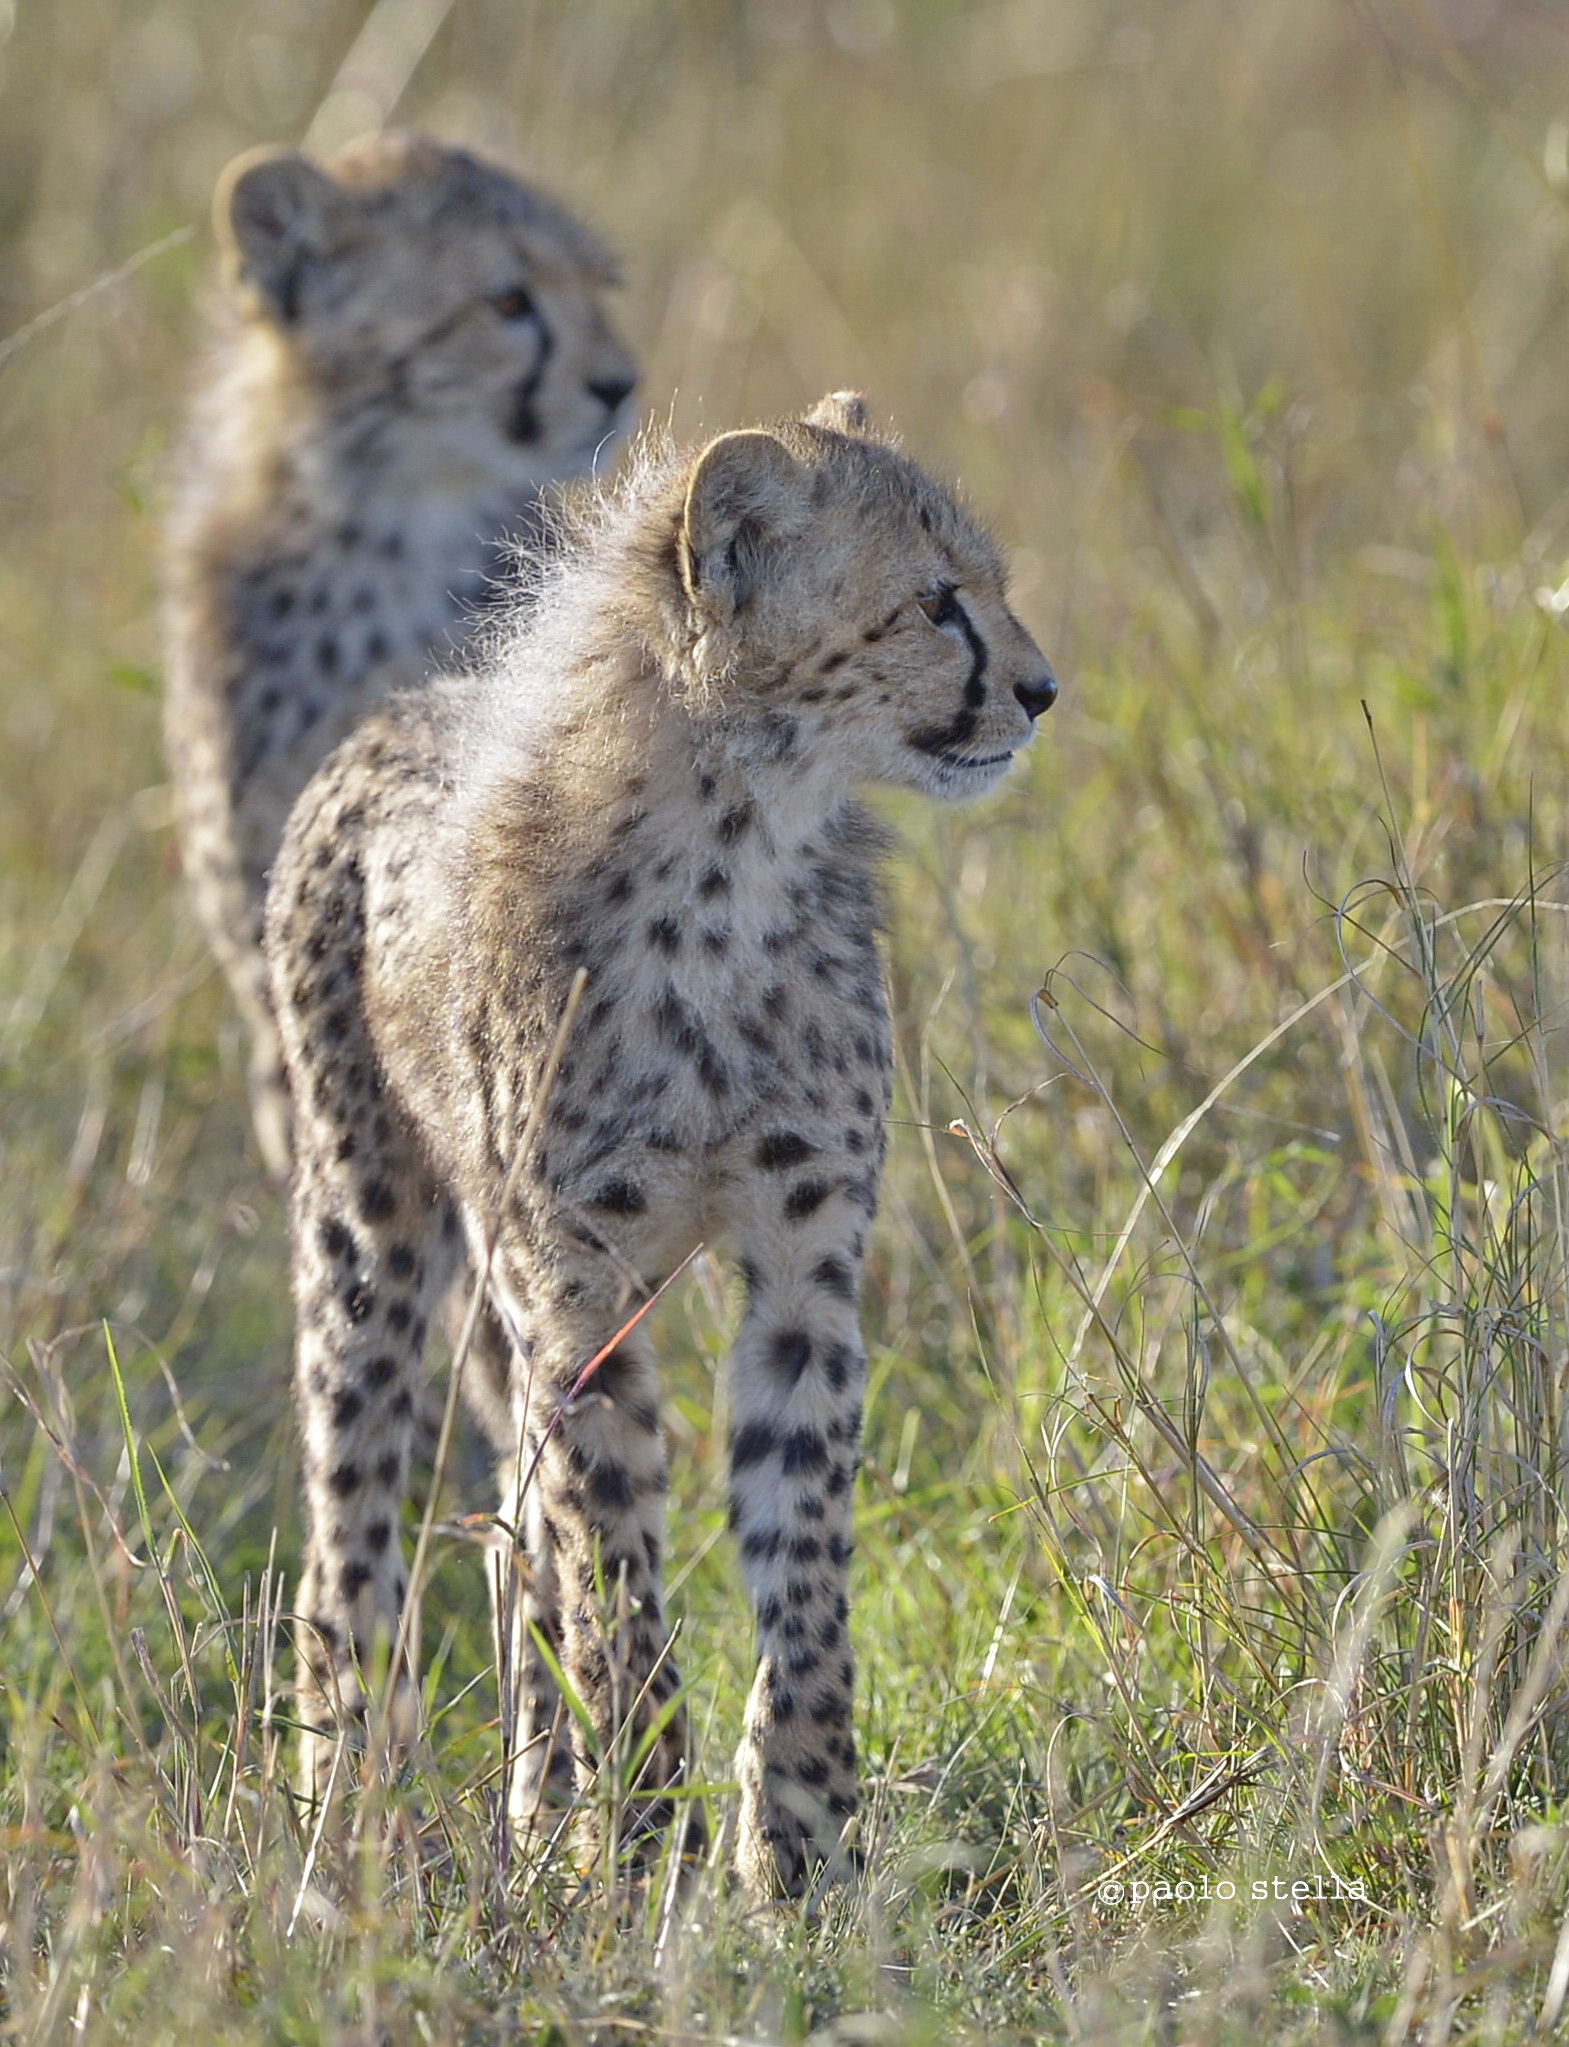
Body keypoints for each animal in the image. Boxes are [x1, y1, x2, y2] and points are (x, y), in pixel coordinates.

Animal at [270, 390, 1065, 1891]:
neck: (731, 857)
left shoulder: (805, 1272)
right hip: (369, 1229)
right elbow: (618, 1586)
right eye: (936, 602)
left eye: (993, 584)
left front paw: (802, 1842)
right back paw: (345, 1830)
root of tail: (393, 709)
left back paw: (534, 1813)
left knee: (511, 1535)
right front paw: (647, 1846)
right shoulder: (577, 1290)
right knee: (352, 1534)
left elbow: (798, 1565)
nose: (1043, 691)